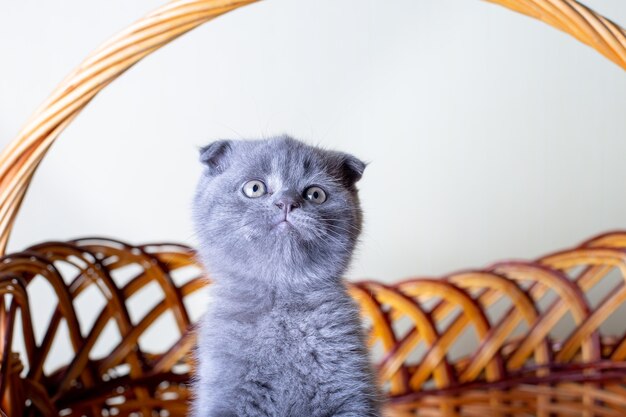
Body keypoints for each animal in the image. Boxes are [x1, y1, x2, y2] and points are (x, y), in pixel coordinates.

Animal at [190, 136, 380, 416]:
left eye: (316, 194)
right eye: (254, 188)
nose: (288, 202)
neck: (281, 303)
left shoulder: (350, 391)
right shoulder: (224, 397)